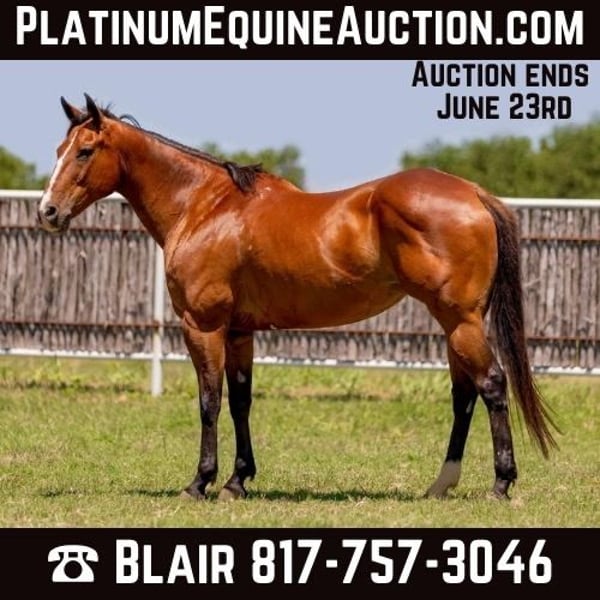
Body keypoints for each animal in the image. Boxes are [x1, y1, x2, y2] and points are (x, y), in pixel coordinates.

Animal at [37, 94, 558, 501]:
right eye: (60, 149)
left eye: (85, 151)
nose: (48, 212)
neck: (205, 207)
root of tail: (473, 192)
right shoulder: (239, 331)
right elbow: (240, 401)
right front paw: (238, 481)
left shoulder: (203, 326)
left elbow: (209, 401)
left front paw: (200, 482)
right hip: (454, 324)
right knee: (464, 394)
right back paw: (441, 485)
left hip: (460, 320)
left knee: (492, 385)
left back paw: (500, 484)